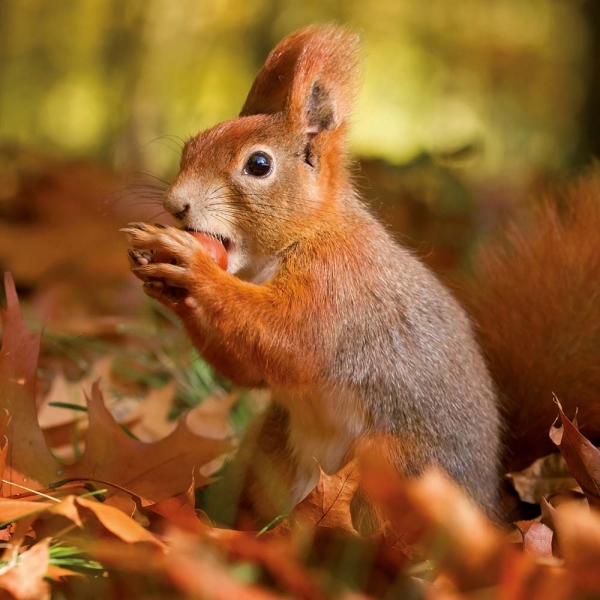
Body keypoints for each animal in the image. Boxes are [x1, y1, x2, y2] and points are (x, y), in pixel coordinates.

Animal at [123, 24, 600, 528]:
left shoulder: (339, 282)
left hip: (394, 469)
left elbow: (291, 340)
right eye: (191, 146)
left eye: (259, 165)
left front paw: (190, 269)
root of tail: (490, 509)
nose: (176, 204)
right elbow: (252, 368)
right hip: (270, 448)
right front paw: (162, 280)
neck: (306, 233)